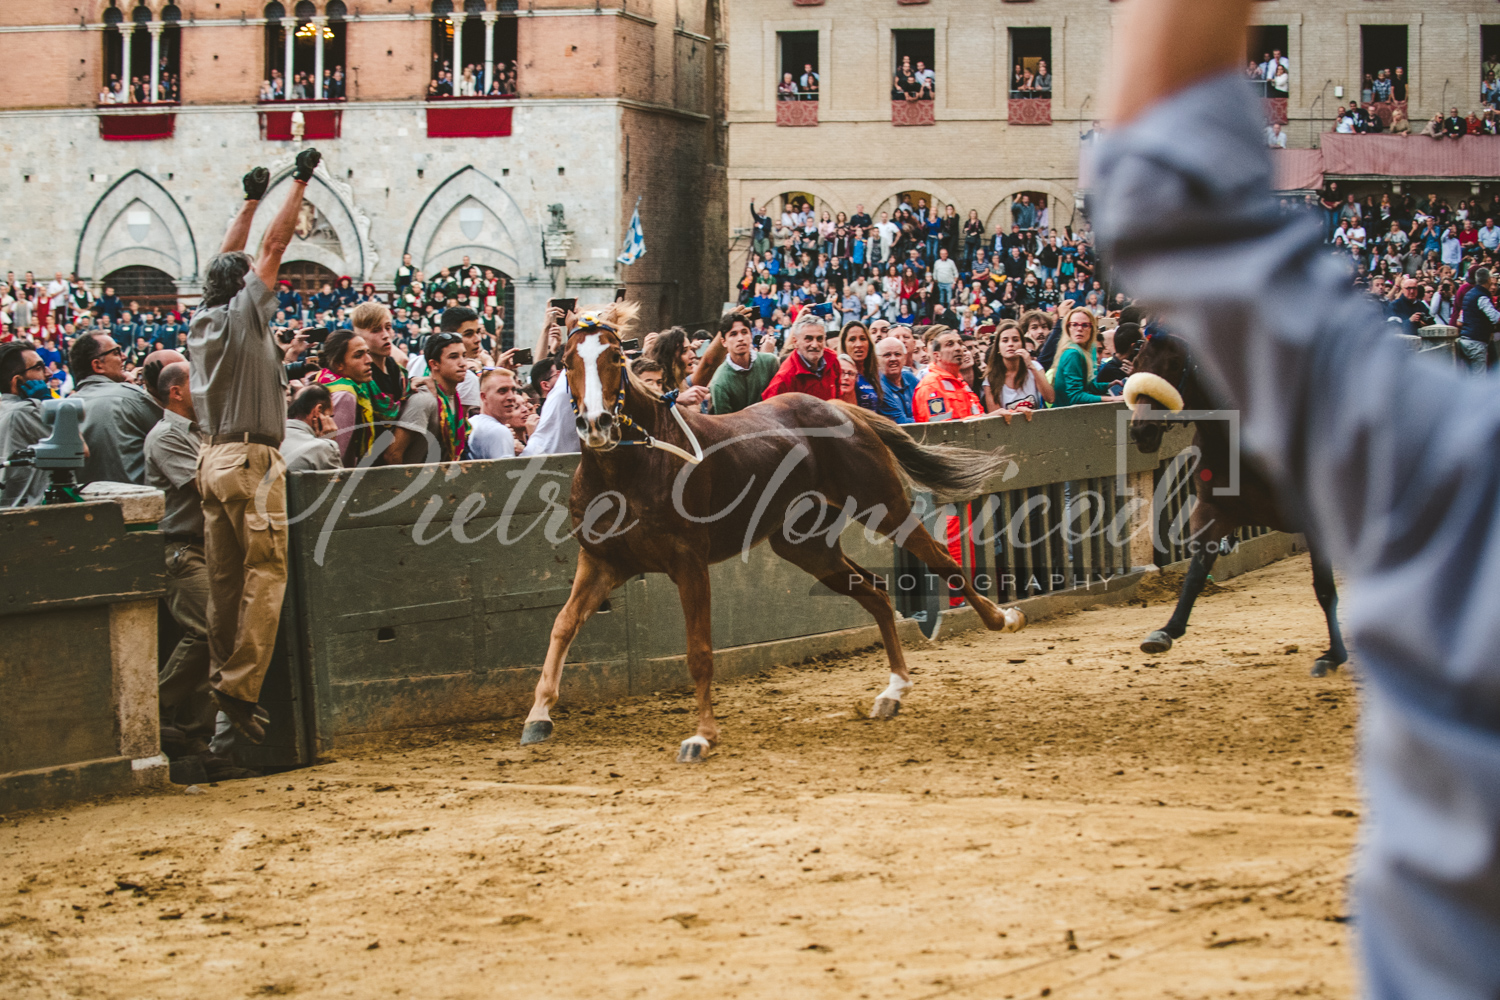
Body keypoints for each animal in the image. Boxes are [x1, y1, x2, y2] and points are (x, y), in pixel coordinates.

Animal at [522, 308, 1026, 761]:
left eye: (614, 358)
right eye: (567, 360)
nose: (595, 423)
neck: (632, 467)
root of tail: (838, 407)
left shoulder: (688, 562)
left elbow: (699, 651)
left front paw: (702, 736)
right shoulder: (603, 562)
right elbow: (562, 625)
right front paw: (538, 716)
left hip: (883, 506)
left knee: (939, 558)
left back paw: (1002, 618)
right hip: (805, 544)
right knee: (876, 590)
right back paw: (894, 690)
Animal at [1128, 332, 1350, 677]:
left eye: (1175, 363)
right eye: (1137, 361)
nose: (1142, 431)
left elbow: (1324, 587)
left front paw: (1332, 655)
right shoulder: (1214, 511)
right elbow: (1195, 575)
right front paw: (1167, 630)